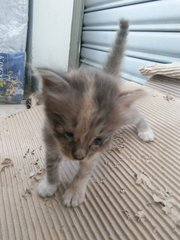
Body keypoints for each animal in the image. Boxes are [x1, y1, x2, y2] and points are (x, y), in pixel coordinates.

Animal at [37, 19, 154, 207]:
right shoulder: (50, 139)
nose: (78, 157)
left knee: (137, 114)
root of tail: (107, 74)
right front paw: (49, 185)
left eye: (98, 139)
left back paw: (146, 131)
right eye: (68, 133)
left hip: (126, 114)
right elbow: (51, 166)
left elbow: (85, 171)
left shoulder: (94, 153)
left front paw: (74, 192)